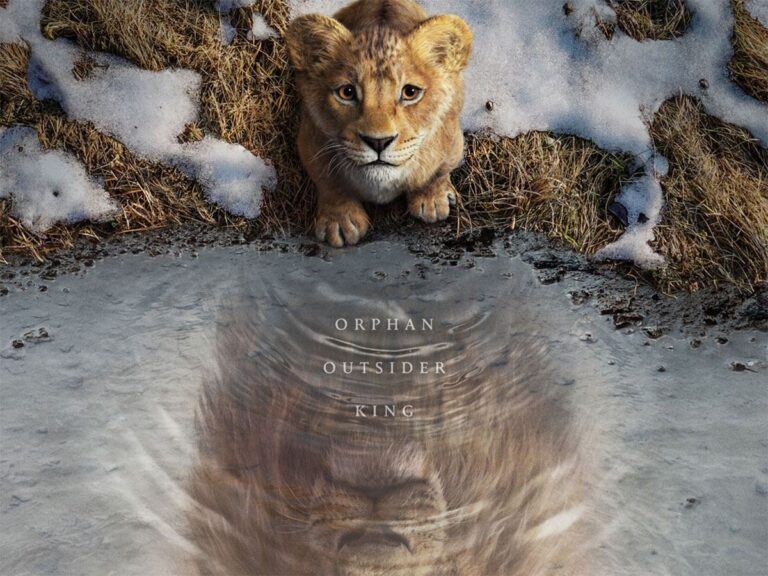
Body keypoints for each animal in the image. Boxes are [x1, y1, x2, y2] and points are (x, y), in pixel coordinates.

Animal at [285, 0, 473, 247]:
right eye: (347, 92)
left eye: (410, 92)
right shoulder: (310, 140)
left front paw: (432, 199)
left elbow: (438, 171)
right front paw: (340, 221)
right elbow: (328, 181)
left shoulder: (452, 141)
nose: (378, 142)